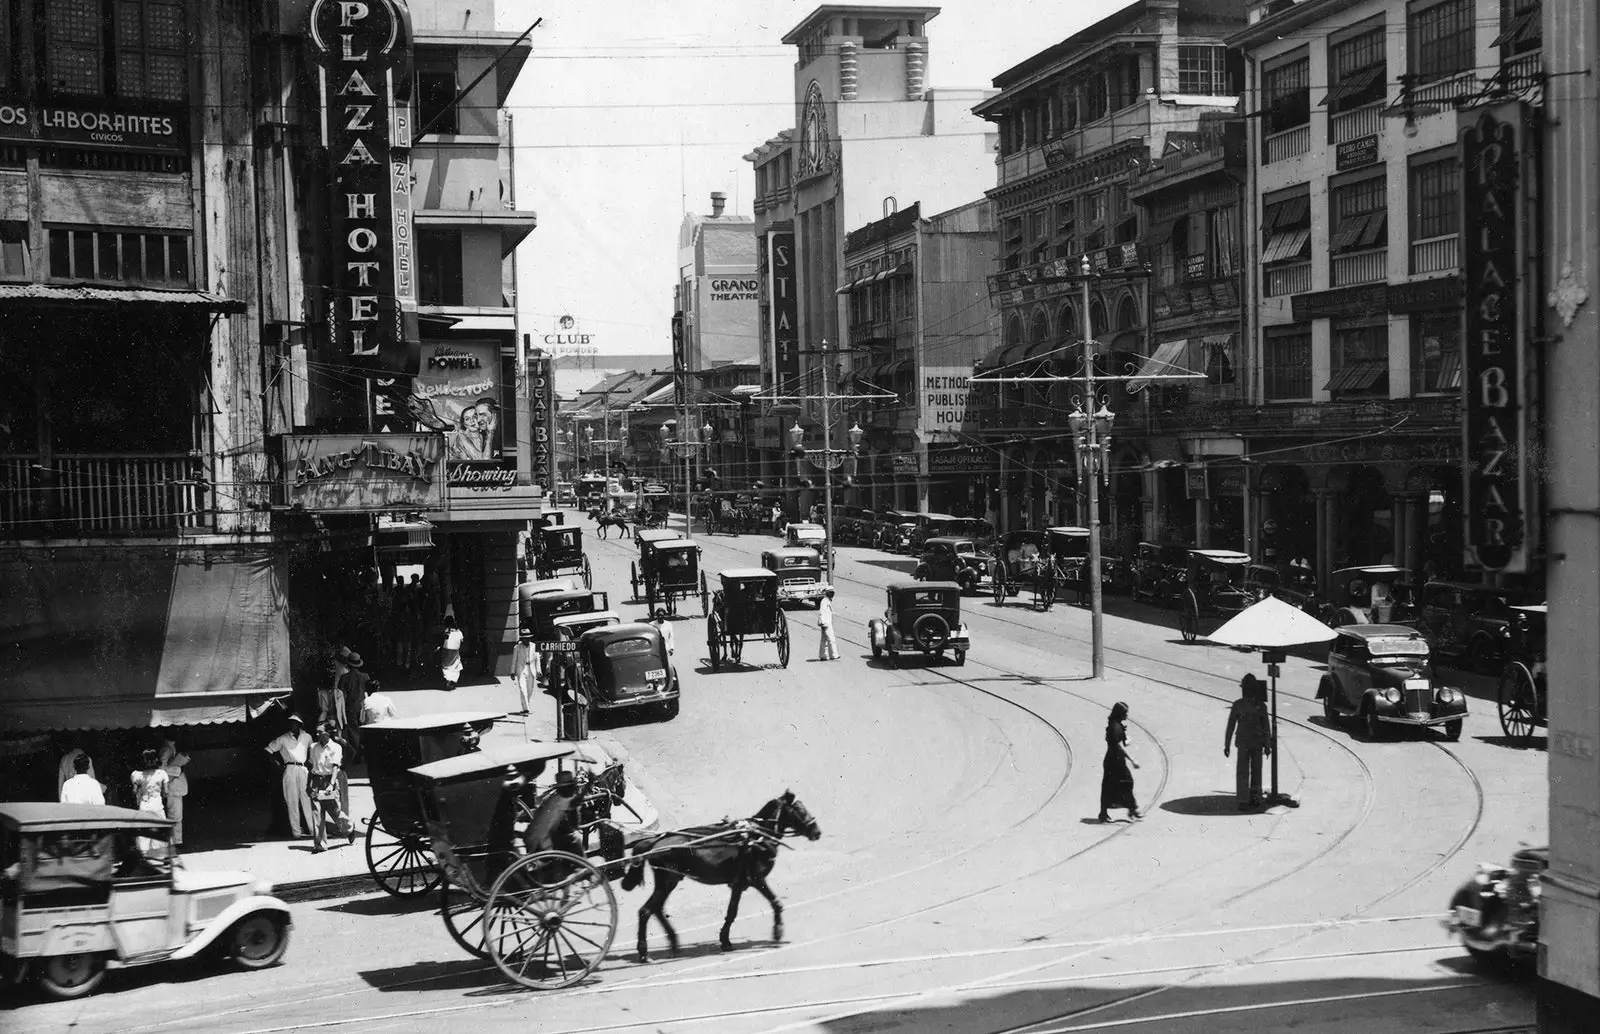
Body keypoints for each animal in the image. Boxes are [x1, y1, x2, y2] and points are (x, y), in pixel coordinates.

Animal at [620, 793, 825, 966]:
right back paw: (644, 953)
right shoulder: (755, 879)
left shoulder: (738, 884)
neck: (756, 837)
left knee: (657, 909)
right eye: (800, 810)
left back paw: (673, 941)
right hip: (668, 881)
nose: (817, 832)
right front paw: (777, 932)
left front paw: (725, 940)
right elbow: (775, 903)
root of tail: (654, 842)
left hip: (669, 882)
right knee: (646, 911)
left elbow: (731, 912)